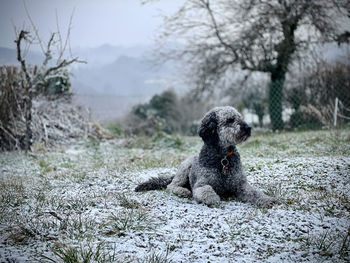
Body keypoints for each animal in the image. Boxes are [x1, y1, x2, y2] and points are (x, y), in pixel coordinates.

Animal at [135, 106, 278, 207]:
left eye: (240, 117)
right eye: (230, 120)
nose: (248, 128)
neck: (223, 157)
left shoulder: (241, 185)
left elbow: (254, 192)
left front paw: (266, 199)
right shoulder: (200, 184)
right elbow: (206, 190)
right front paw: (212, 198)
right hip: (185, 167)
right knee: (171, 186)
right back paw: (183, 191)